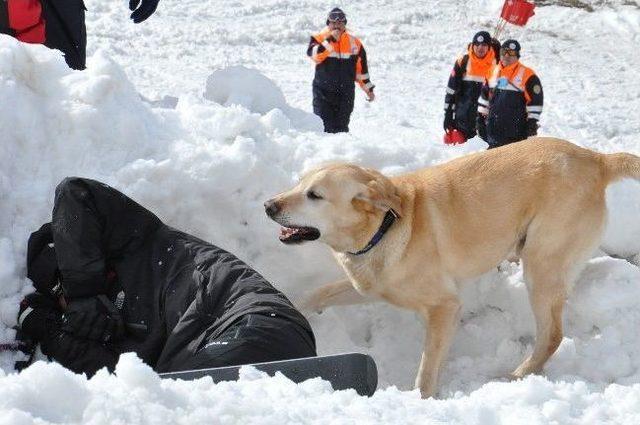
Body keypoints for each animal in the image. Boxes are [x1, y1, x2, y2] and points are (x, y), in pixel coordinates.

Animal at [264, 138, 640, 398]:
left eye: (314, 195)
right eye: (298, 183)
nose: (269, 205)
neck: (387, 227)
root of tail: (596, 159)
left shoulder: (444, 307)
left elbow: (427, 370)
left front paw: (420, 401)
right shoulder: (367, 287)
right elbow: (316, 293)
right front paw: (287, 309)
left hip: (542, 265)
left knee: (552, 335)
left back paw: (516, 376)